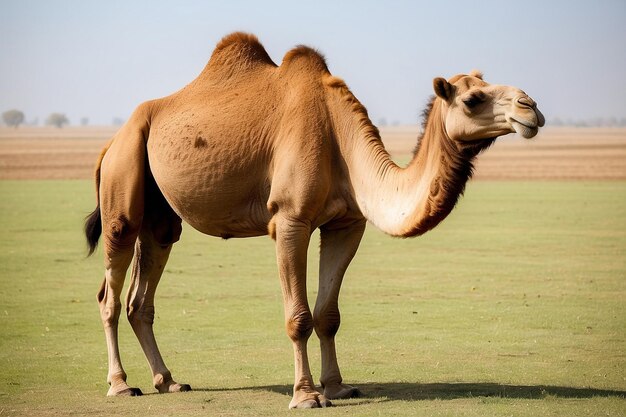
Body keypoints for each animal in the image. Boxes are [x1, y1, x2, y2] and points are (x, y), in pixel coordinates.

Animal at [81, 31, 540, 406]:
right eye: (472, 99)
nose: (531, 107)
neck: (342, 141)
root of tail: (110, 142)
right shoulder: (290, 219)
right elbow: (299, 316)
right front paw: (305, 395)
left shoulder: (346, 225)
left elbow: (328, 314)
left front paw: (337, 387)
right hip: (123, 183)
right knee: (109, 292)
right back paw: (121, 385)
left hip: (160, 217)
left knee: (142, 295)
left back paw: (168, 381)